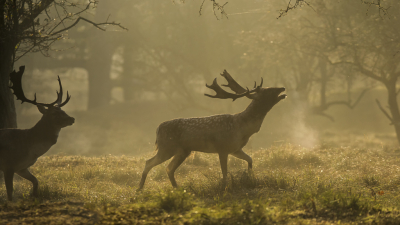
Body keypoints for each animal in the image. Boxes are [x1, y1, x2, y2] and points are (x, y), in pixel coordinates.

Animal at [0, 65, 74, 200]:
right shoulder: (8, 165)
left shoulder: (22, 167)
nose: (72, 119)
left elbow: (36, 181)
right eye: (54, 113)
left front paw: (34, 196)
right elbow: (10, 193)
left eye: (63, 110)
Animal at [138, 69, 288, 189]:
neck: (243, 128)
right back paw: (140, 188)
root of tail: (157, 129)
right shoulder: (222, 148)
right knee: (149, 162)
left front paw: (250, 178)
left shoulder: (235, 149)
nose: (282, 88)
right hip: (167, 147)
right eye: (268, 90)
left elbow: (250, 159)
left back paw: (177, 188)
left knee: (169, 168)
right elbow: (225, 172)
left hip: (182, 151)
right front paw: (224, 187)